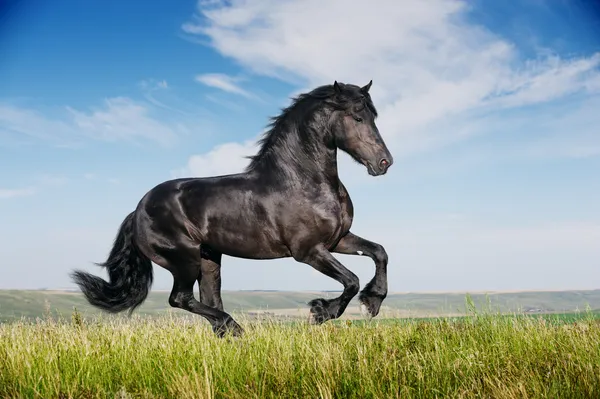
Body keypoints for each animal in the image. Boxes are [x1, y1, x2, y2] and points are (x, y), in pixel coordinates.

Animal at [71, 81, 394, 338]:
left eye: (373, 116)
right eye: (357, 116)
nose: (384, 163)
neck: (302, 181)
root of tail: (137, 210)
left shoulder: (337, 240)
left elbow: (379, 252)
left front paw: (373, 301)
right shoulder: (308, 251)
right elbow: (351, 280)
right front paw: (320, 312)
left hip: (209, 258)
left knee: (208, 300)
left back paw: (227, 332)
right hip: (183, 259)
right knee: (181, 299)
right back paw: (234, 328)